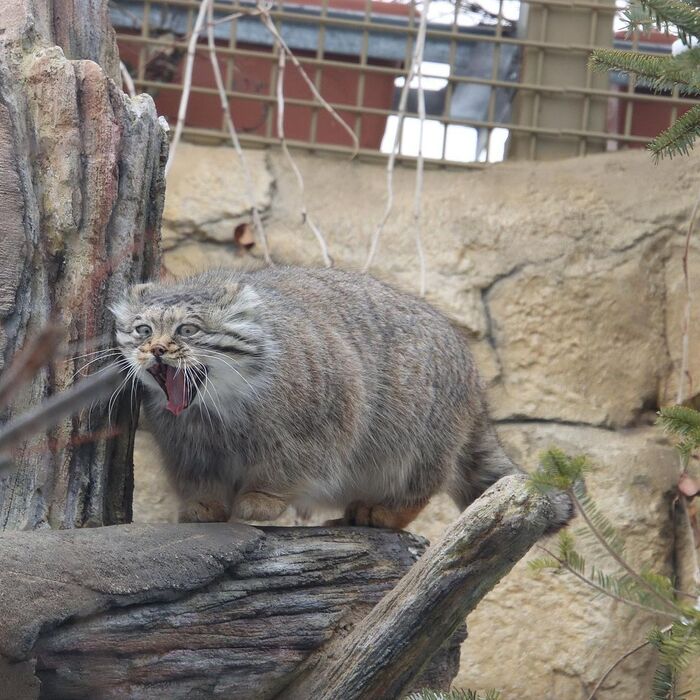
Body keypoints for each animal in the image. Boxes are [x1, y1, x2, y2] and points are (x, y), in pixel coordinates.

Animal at [113, 268, 576, 532]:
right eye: (142, 330)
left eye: (187, 330)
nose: (155, 350)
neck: (218, 409)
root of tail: (474, 374)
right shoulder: (185, 446)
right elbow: (199, 479)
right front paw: (204, 504)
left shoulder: (319, 426)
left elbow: (286, 467)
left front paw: (262, 499)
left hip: (416, 437)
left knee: (421, 483)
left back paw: (386, 512)